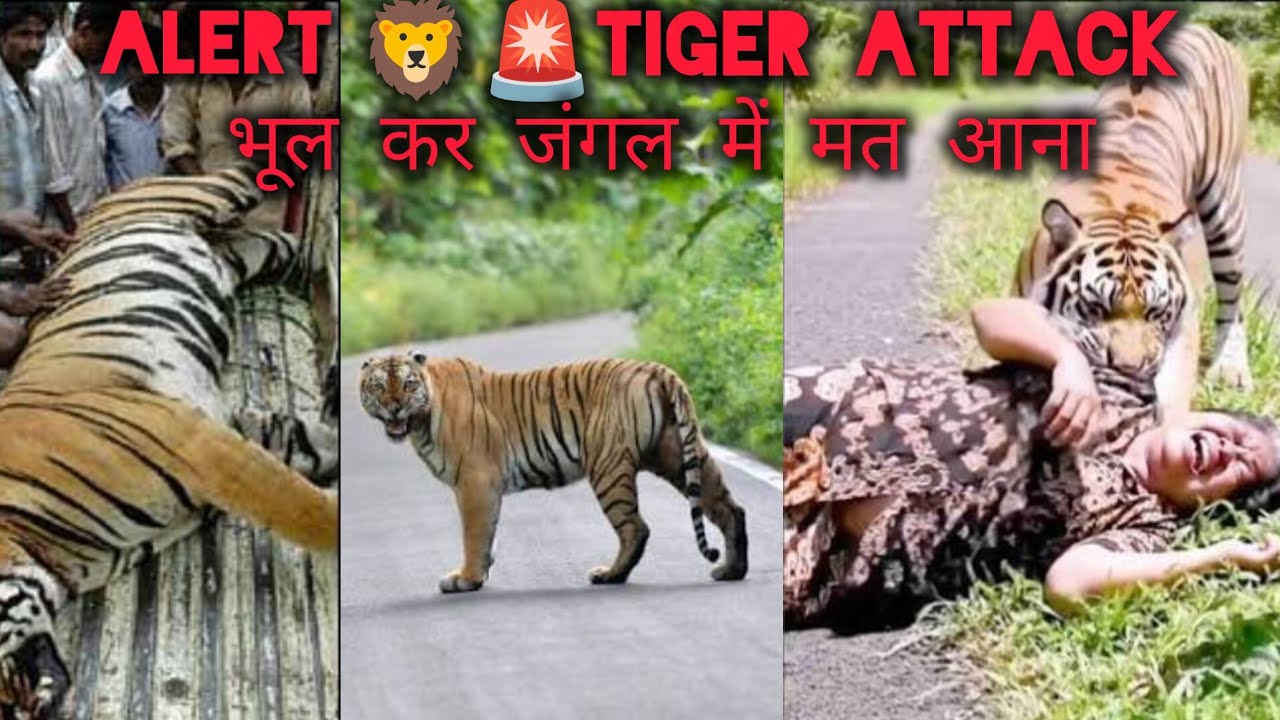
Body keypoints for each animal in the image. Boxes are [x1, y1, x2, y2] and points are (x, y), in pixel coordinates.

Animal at [0, 168, 338, 718]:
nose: (22, 708)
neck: (47, 554)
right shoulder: (228, 432)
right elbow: (309, 447)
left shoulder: (201, 445)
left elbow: (307, 511)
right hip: (237, 253)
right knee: (276, 247)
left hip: (203, 192)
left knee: (250, 177)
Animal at [357, 354, 749, 592]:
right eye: (379, 386)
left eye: (408, 384)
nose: (395, 407)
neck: (422, 418)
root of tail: (656, 369)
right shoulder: (484, 488)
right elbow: (488, 535)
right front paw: (480, 573)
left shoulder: (475, 482)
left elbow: (474, 535)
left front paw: (466, 579)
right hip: (677, 455)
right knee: (730, 509)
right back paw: (732, 570)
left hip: (608, 467)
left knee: (636, 528)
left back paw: (610, 575)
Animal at [1012, 23, 1250, 422]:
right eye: (1095, 309)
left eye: (1156, 312)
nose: (1128, 369)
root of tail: (1199, 26)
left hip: (1225, 207)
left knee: (1232, 293)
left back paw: (1231, 369)